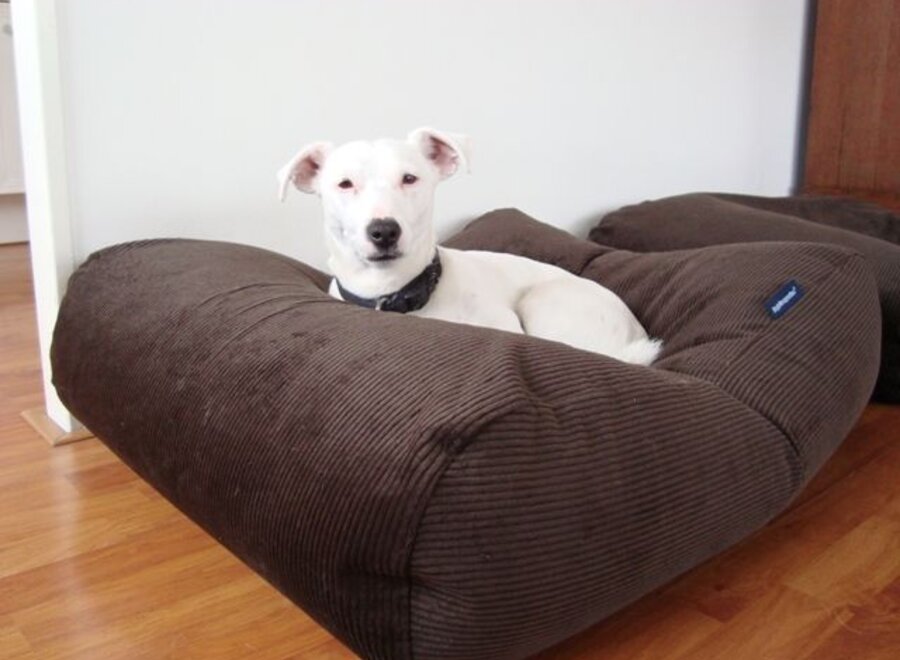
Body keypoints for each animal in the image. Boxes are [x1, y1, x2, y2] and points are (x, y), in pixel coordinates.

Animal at [276, 127, 660, 366]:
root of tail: (633, 336)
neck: (397, 295)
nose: (384, 231)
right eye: (345, 184)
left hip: (545, 301)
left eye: (410, 178)